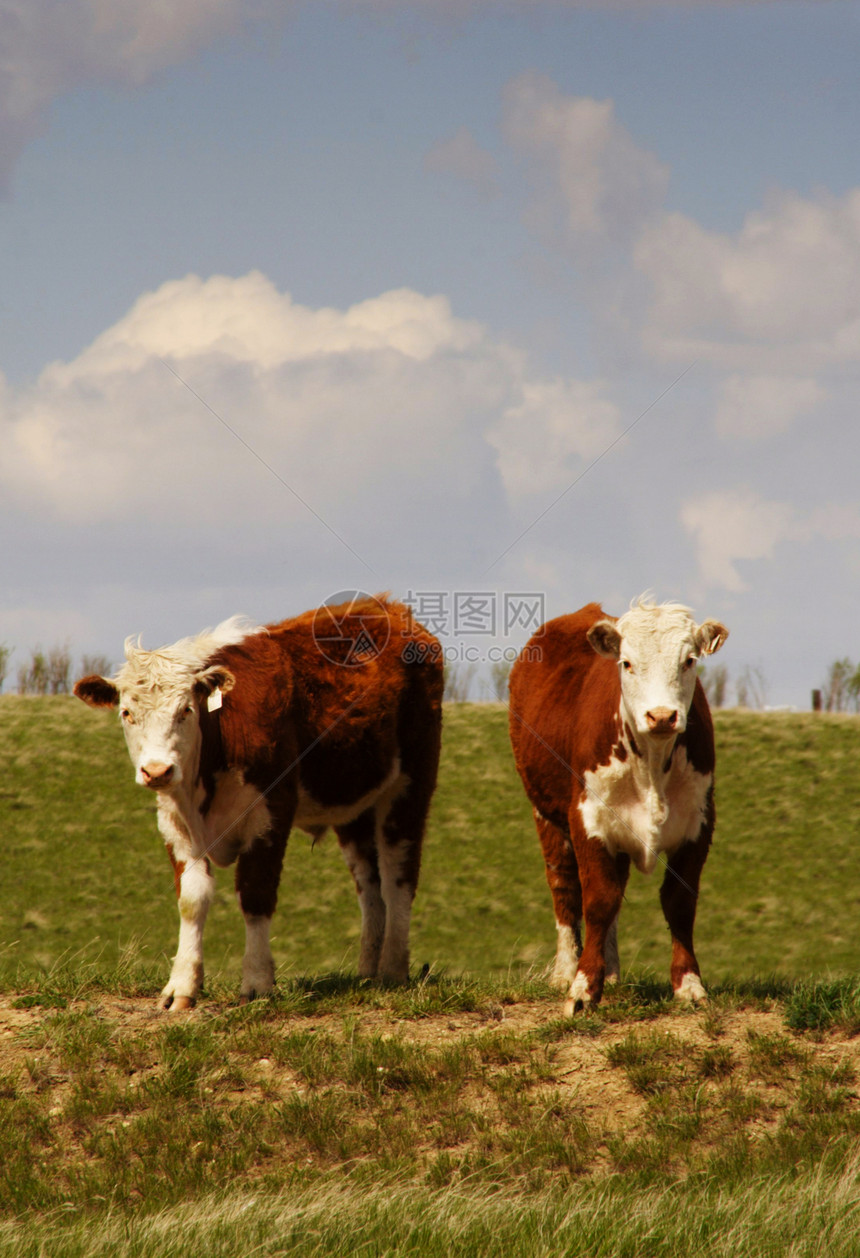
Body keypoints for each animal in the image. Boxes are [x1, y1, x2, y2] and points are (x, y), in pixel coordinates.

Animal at [73, 598, 442, 1011]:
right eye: (126, 713)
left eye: (186, 710)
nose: (157, 771)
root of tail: (388, 608)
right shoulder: (175, 824)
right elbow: (192, 900)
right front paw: (181, 986)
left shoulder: (270, 815)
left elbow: (255, 894)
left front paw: (257, 983)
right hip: (353, 804)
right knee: (370, 885)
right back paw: (367, 974)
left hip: (410, 785)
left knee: (399, 875)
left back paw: (393, 971)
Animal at [507, 593, 729, 1016]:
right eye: (626, 663)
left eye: (689, 660)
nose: (661, 716)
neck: (652, 766)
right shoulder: (588, 820)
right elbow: (597, 900)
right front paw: (581, 987)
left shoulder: (698, 822)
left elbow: (678, 902)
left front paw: (688, 984)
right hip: (545, 814)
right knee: (564, 888)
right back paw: (565, 968)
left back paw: (609, 969)